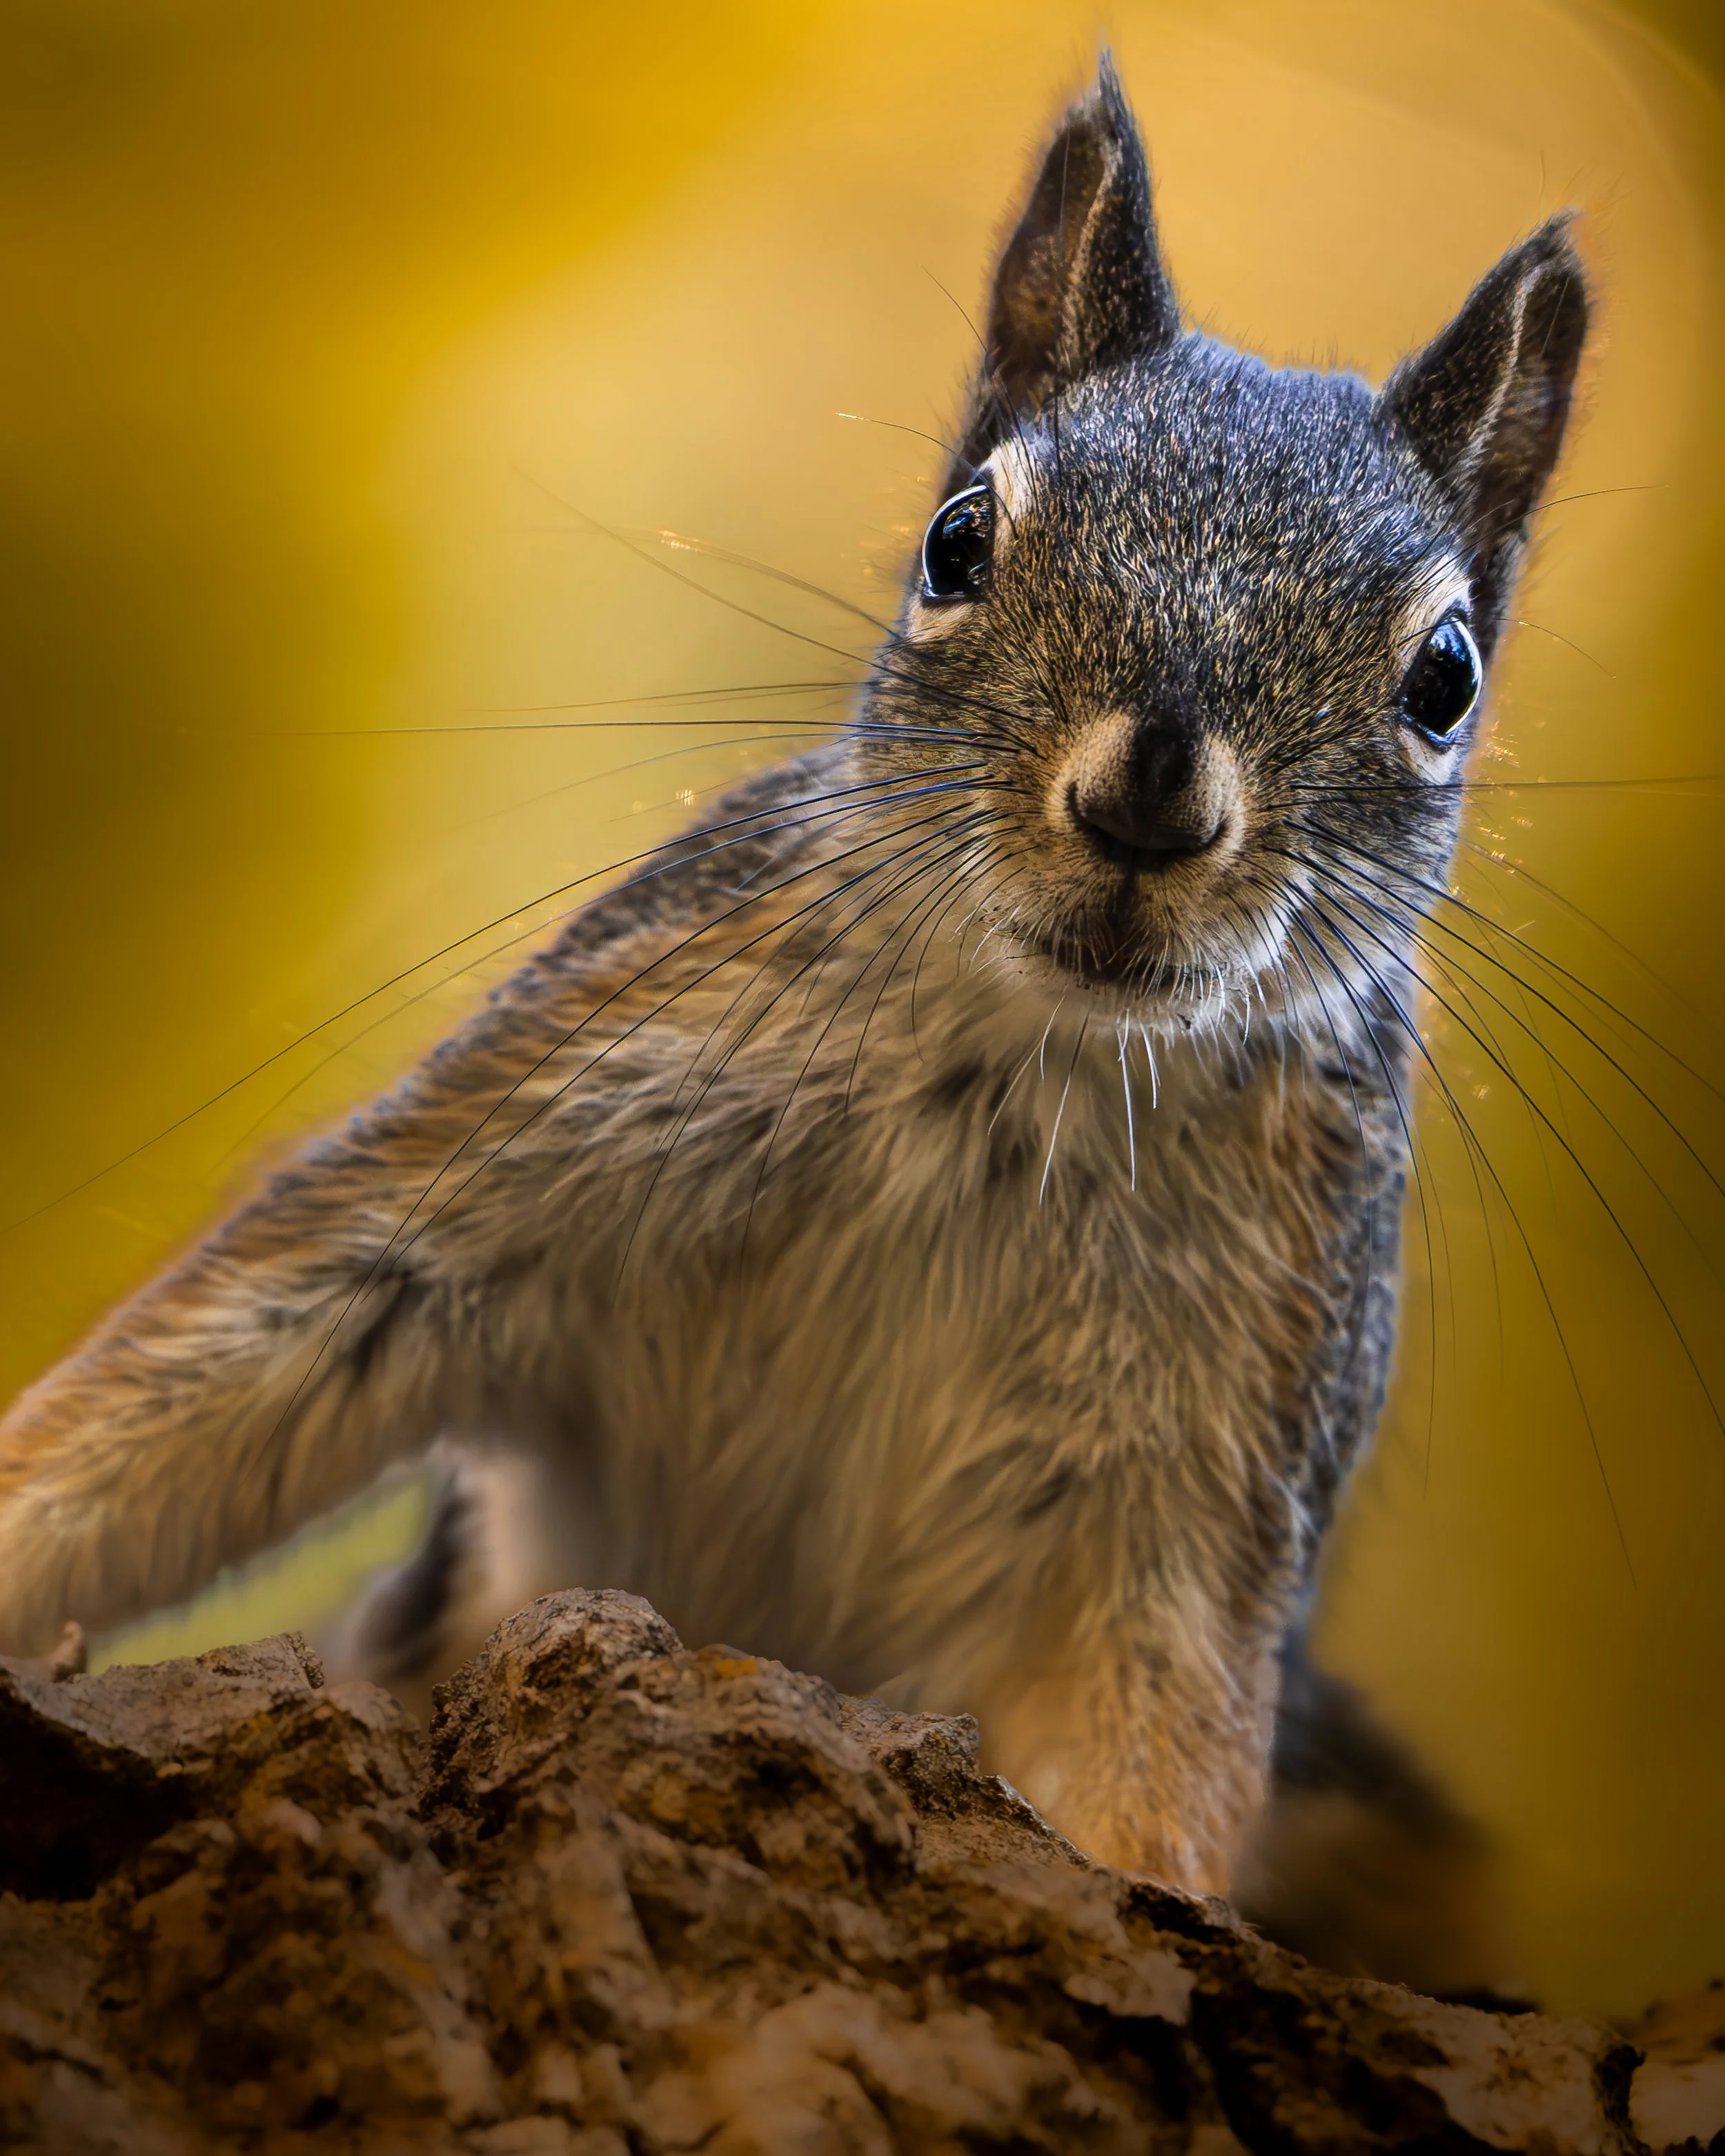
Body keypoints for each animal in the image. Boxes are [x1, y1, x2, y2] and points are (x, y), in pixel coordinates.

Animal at [0, 61, 1585, 1994]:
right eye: (956, 541)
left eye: (1444, 678)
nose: (1147, 799)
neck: (1030, 1066)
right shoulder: (547, 1102)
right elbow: (215, 1365)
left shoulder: (1208, 1466)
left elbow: (1149, 1754)